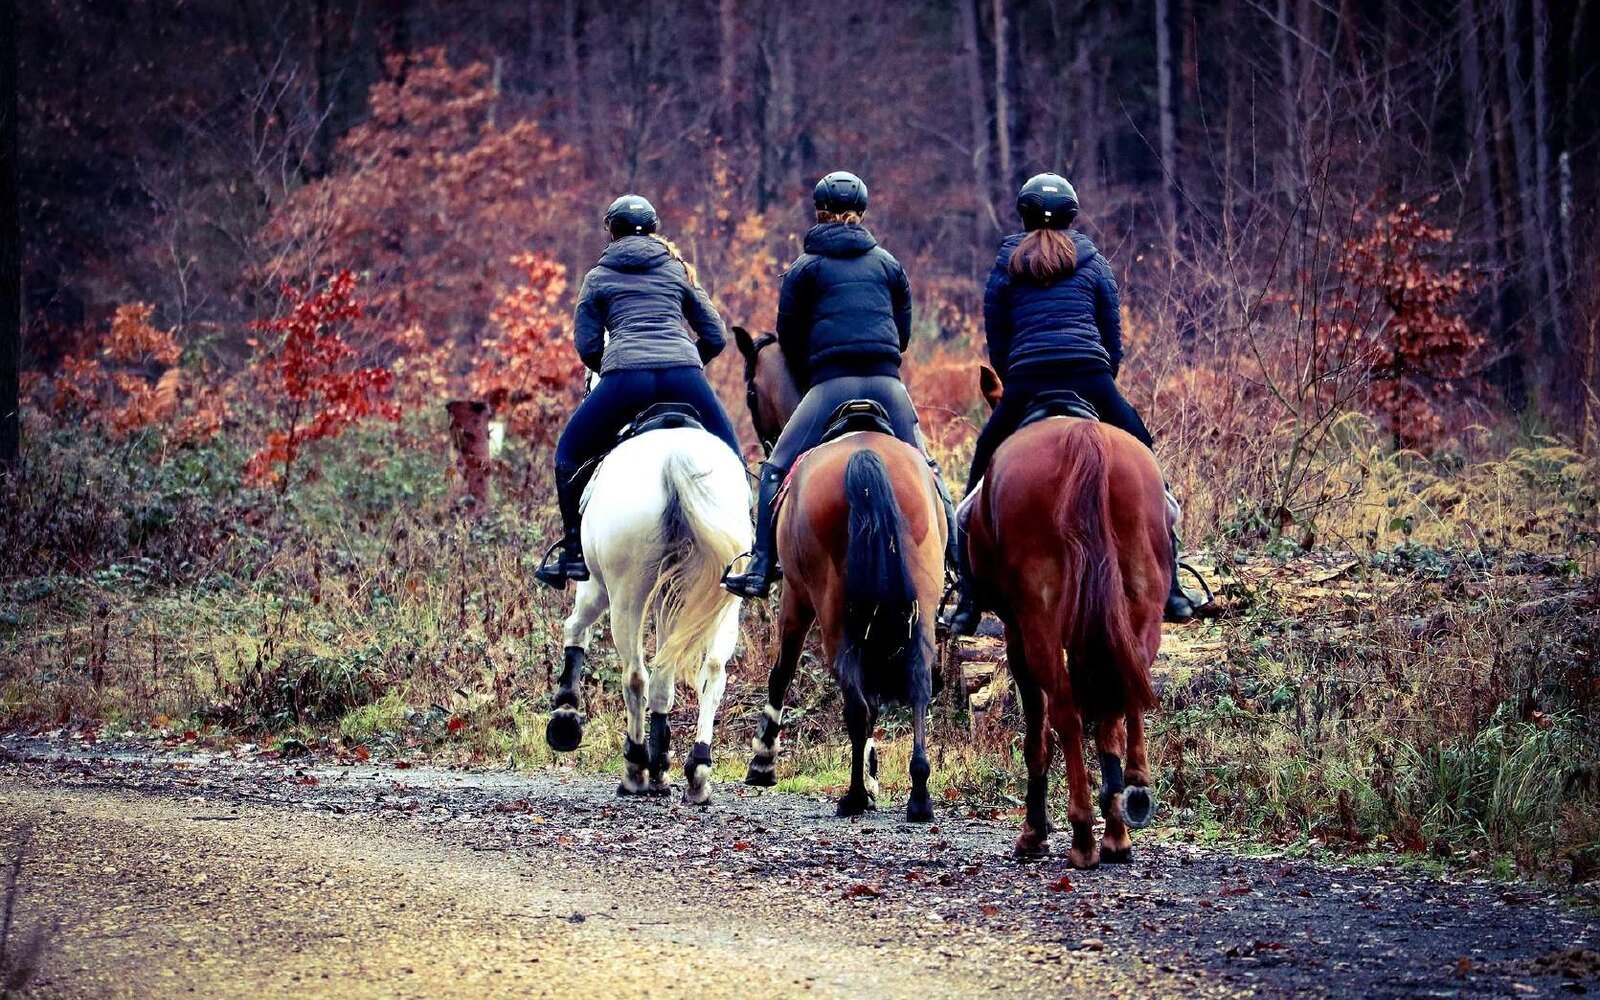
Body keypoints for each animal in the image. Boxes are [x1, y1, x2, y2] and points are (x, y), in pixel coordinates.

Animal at [544, 412, 752, 805]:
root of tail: (674, 459)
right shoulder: (672, 599)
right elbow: (666, 681)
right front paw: (663, 767)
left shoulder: (595, 585)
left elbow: (575, 629)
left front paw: (565, 716)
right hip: (725, 596)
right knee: (711, 671)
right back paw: (695, 772)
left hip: (626, 594)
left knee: (634, 675)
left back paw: (635, 770)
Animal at [732, 326, 942, 822]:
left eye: (750, 393)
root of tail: (864, 454)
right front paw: (875, 769)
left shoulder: (795, 596)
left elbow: (782, 670)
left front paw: (762, 762)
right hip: (919, 601)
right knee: (914, 681)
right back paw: (918, 793)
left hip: (831, 608)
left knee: (852, 690)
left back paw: (854, 796)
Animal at [963, 365, 1165, 868]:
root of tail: (1081, 437)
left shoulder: (1016, 634)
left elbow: (1037, 734)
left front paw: (1034, 833)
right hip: (1140, 604)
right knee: (1122, 697)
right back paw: (1122, 817)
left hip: (1038, 622)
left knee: (1066, 714)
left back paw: (1083, 836)